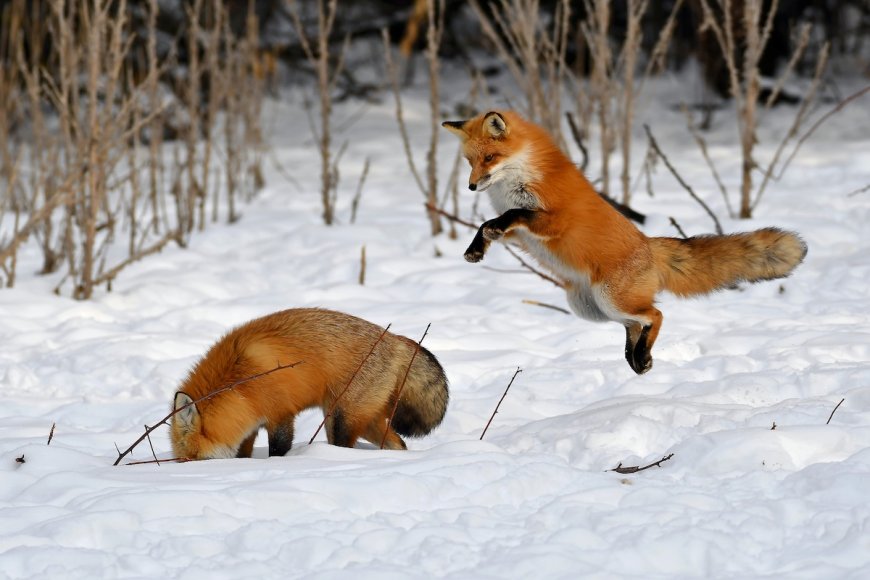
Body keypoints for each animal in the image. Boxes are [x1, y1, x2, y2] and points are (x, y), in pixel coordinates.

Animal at [170, 308, 449, 460]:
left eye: (191, 459)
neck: (238, 384)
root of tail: (394, 338)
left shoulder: (280, 414)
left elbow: (279, 450)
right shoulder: (248, 426)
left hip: (341, 420)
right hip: (364, 420)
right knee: (398, 444)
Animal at [443, 110, 807, 375]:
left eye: (490, 157)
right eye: (470, 161)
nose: (472, 186)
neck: (517, 180)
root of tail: (649, 243)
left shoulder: (553, 220)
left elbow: (515, 213)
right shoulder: (518, 234)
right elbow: (487, 225)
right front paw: (476, 249)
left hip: (611, 299)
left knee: (656, 315)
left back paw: (641, 356)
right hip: (593, 308)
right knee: (637, 324)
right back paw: (638, 358)